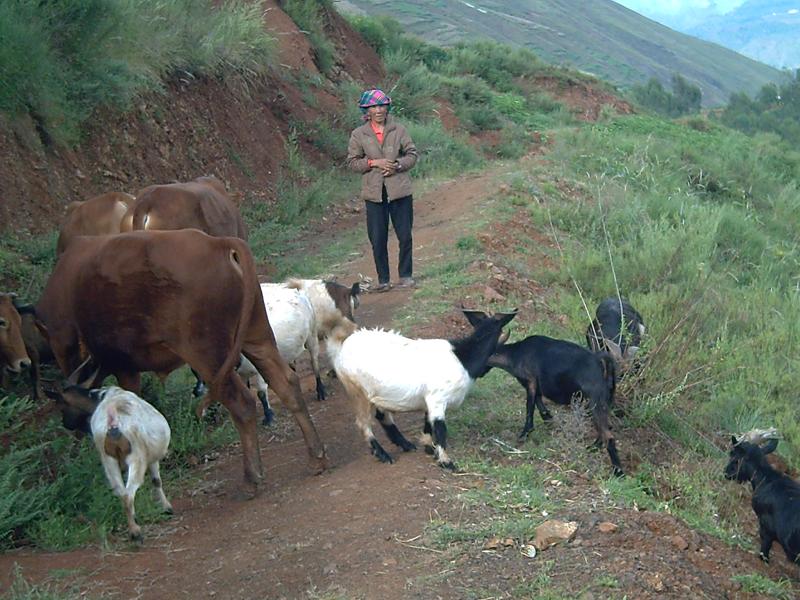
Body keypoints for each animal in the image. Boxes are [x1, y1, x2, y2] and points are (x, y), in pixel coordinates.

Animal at [37, 230, 324, 492]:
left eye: (62, 403)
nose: (67, 423)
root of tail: (219, 243)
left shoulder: (120, 367)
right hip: (257, 337)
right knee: (287, 383)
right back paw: (316, 455)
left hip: (208, 355)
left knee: (242, 403)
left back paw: (252, 478)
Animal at [49, 384, 173, 544]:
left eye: (62, 407)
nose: (65, 424)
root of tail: (113, 422)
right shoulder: (151, 458)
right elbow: (157, 481)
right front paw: (167, 507)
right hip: (136, 457)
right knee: (128, 493)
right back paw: (136, 533)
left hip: (108, 459)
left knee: (121, 491)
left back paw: (133, 527)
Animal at [326, 312, 520, 472]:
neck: (462, 357)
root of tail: (341, 348)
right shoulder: (437, 399)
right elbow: (440, 429)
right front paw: (446, 462)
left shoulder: (430, 401)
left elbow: (428, 422)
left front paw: (428, 446)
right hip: (356, 390)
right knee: (363, 423)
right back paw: (383, 454)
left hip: (375, 393)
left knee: (382, 416)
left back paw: (404, 444)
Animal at [462, 312, 624, 476]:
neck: (516, 354)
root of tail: (600, 361)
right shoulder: (537, 386)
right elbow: (540, 405)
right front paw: (549, 421)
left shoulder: (531, 382)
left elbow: (530, 406)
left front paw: (524, 434)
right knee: (605, 429)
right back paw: (593, 448)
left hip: (595, 401)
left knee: (608, 435)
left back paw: (618, 470)